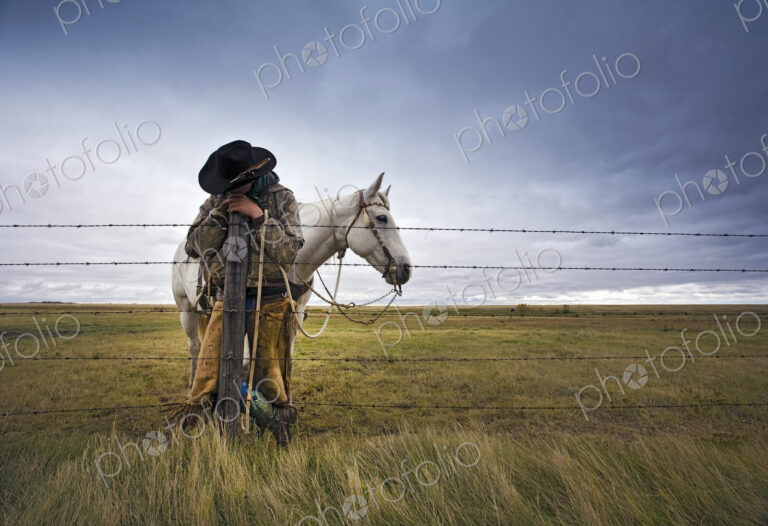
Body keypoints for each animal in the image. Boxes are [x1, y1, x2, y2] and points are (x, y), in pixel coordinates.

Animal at [171, 173, 412, 385]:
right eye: (382, 218)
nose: (406, 269)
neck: (295, 263)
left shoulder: (296, 312)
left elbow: (286, 358)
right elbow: (247, 364)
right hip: (186, 309)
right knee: (194, 347)